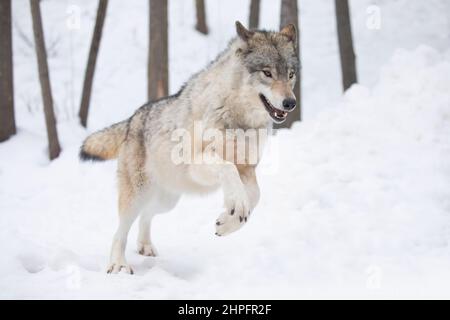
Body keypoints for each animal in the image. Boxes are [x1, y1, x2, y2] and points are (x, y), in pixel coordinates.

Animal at [81, 21, 298, 274]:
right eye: (267, 72)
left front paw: (228, 221)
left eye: (290, 74)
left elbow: (255, 196)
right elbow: (228, 169)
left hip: (166, 201)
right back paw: (118, 264)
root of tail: (132, 119)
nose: (290, 103)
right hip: (138, 195)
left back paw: (145, 246)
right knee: (120, 231)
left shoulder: (247, 168)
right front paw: (235, 207)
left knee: (146, 215)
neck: (238, 118)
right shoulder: (198, 165)